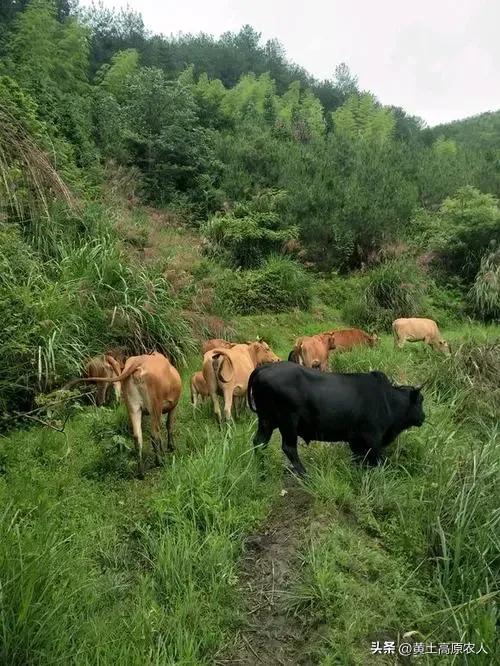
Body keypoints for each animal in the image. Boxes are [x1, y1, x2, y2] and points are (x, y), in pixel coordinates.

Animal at [246, 360, 426, 474]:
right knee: (288, 448)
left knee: (259, 442)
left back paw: (261, 470)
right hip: (288, 421)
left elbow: (359, 459)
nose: (423, 417)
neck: (387, 399)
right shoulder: (372, 439)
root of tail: (264, 368)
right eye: (421, 401)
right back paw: (304, 474)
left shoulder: (356, 441)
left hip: (266, 420)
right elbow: (376, 460)